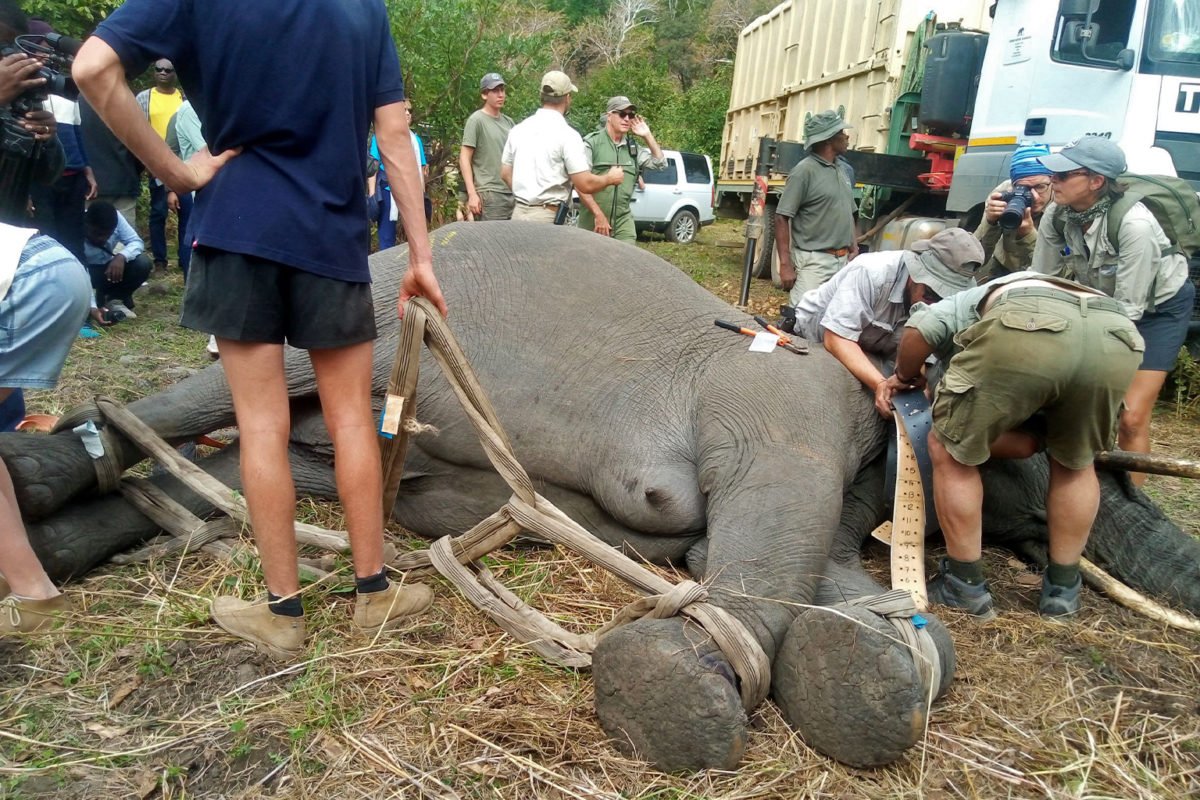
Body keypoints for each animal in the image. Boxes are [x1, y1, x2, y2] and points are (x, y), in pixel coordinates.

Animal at [7, 221, 1200, 772]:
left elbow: (769, 558)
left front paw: (877, 651)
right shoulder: (781, 401)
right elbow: (746, 529)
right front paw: (679, 690)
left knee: (250, 463)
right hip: (358, 307)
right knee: (188, 408)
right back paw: (40, 474)